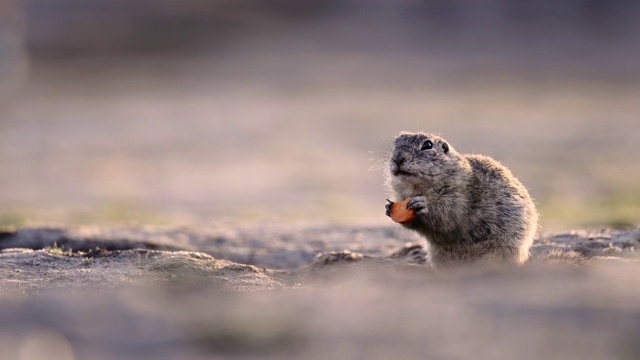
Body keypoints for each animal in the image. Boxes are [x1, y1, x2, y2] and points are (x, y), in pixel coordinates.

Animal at [388, 132, 536, 268]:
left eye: (427, 145)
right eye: (395, 143)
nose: (397, 158)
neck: (418, 189)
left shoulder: (460, 196)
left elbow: (447, 213)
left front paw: (422, 204)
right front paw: (388, 208)